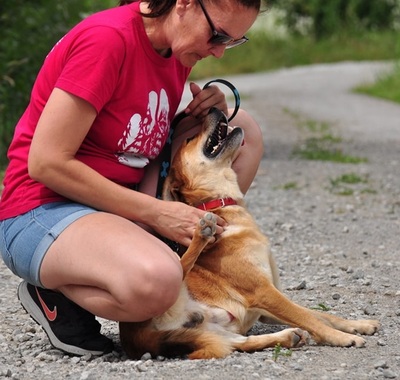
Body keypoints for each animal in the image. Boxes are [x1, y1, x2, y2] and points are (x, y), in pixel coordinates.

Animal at [118, 107, 378, 360]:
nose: (213, 108)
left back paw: (287, 337)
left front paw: (358, 324)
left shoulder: (269, 301)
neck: (220, 204)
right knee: (182, 265)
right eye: (189, 139)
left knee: (241, 344)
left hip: (214, 331)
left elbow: (319, 314)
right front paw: (343, 337)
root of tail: (136, 341)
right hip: (172, 285)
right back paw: (202, 233)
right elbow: (310, 317)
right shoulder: (264, 292)